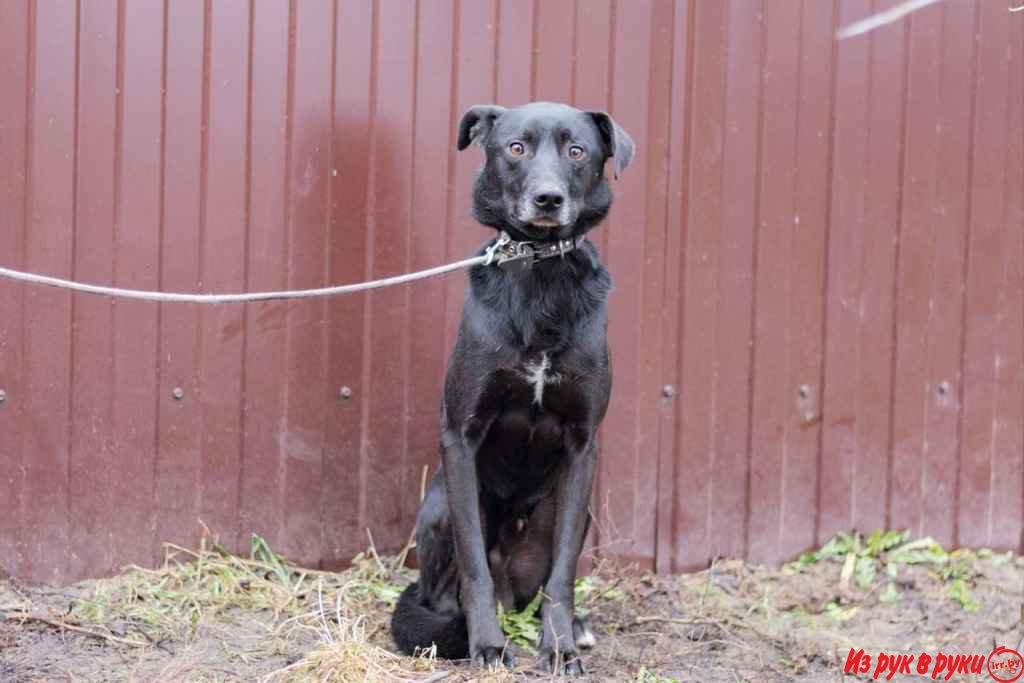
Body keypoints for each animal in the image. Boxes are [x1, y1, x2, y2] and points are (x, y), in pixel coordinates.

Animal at [391, 102, 630, 679]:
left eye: (577, 151)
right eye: (516, 148)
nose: (548, 199)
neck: (540, 270)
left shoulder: (582, 445)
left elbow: (563, 575)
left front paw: (560, 647)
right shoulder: (460, 437)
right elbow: (474, 565)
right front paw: (486, 645)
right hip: (441, 502)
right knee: (452, 588)